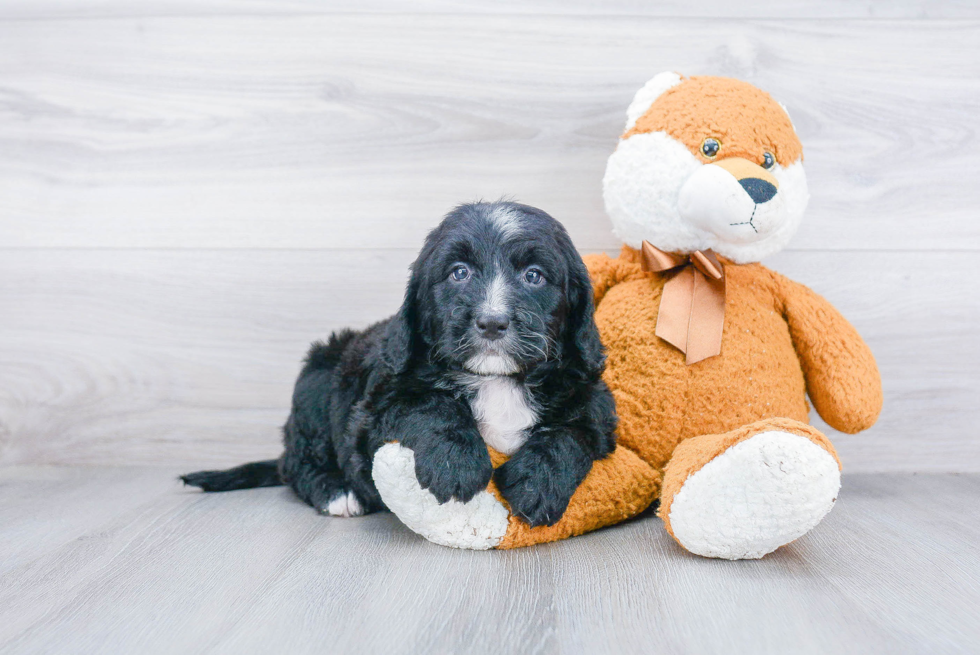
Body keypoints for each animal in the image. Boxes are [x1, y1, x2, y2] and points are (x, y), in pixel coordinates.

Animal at [180, 200, 616, 528]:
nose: (492, 322)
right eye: (459, 273)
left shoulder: (595, 403)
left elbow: (569, 435)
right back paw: (337, 492)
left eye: (534, 276)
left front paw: (535, 484)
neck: (496, 379)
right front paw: (455, 464)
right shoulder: (375, 407)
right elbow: (431, 404)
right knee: (297, 463)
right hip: (316, 377)